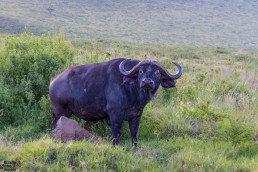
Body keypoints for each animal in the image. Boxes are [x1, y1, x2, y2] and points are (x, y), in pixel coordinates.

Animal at [49, 58, 182, 146]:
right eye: (140, 71)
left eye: (157, 72)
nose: (147, 82)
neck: (131, 92)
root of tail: (53, 81)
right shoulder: (115, 115)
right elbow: (116, 135)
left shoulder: (136, 116)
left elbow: (134, 134)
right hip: (60, 112)